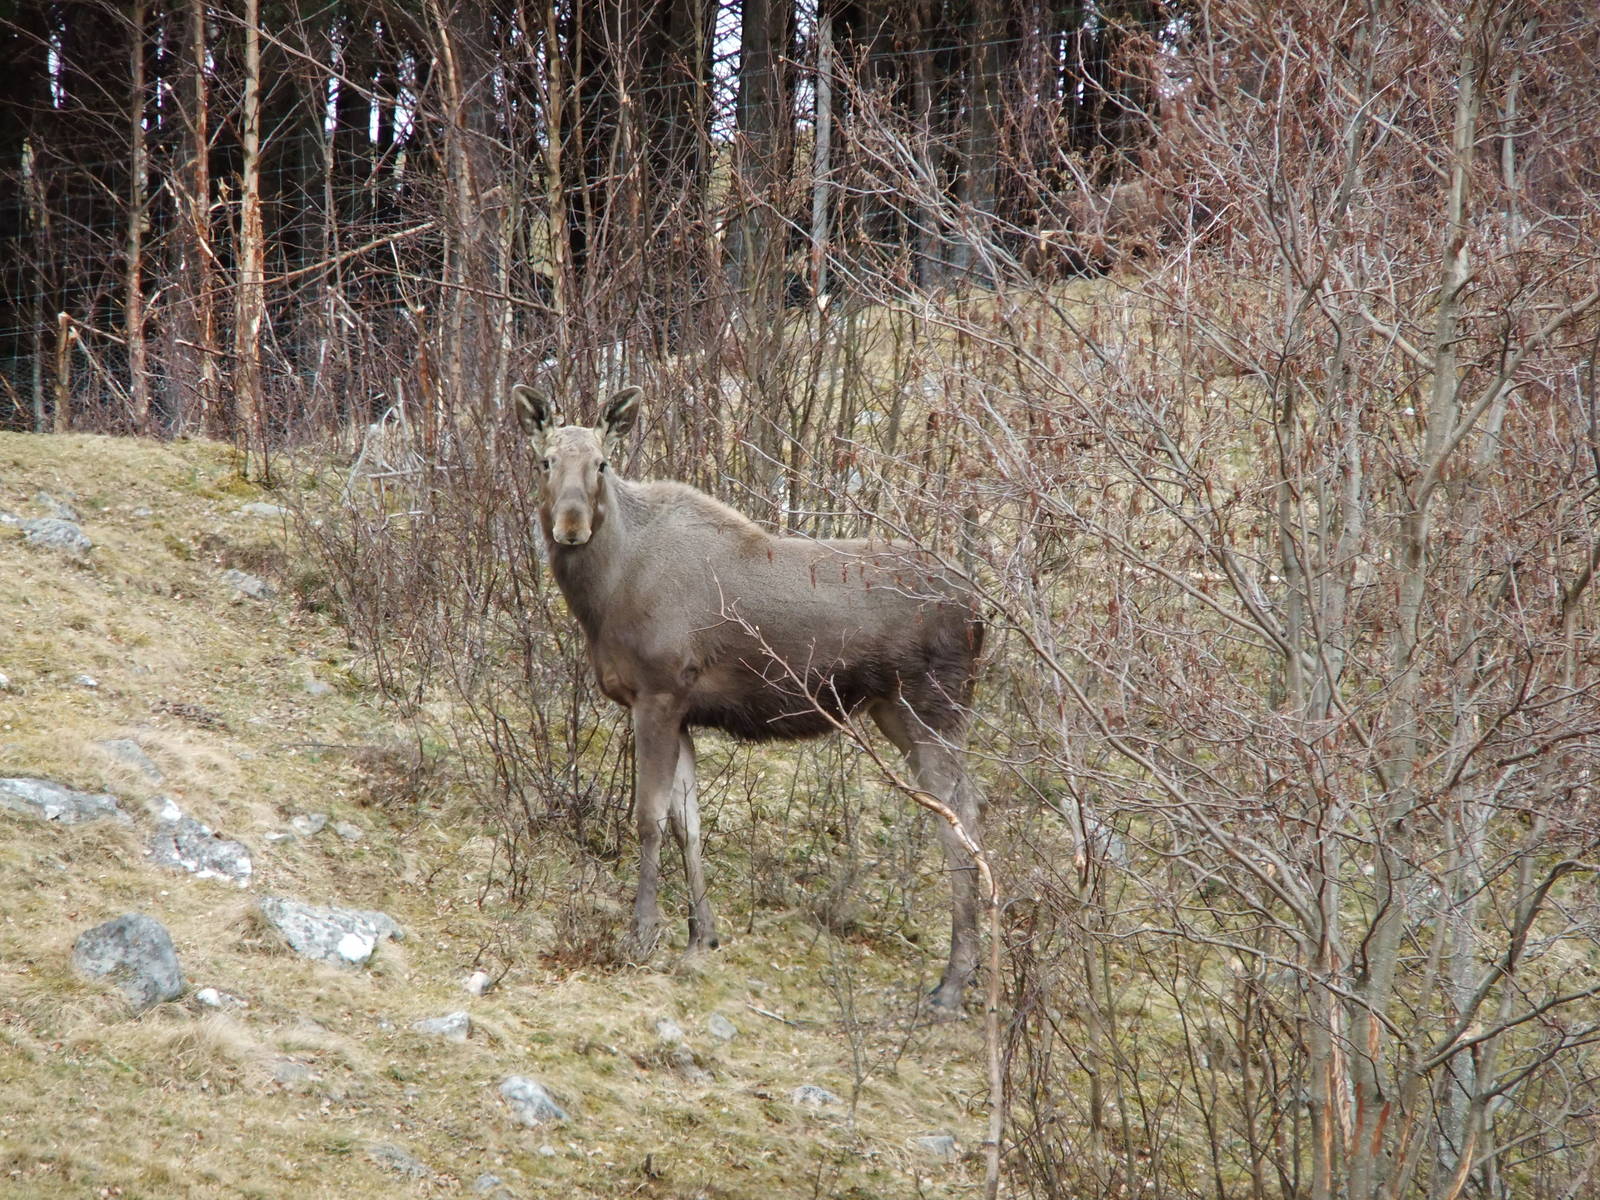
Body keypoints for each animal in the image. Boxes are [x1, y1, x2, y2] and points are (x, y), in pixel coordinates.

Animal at [514, 382, 986, 1010]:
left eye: (602, 463)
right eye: (545, 461)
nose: (571, 527)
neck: (604, 594)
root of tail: (982, 615)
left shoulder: (657, 693)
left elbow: (648, 817)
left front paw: (642, 934)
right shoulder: (682, 711)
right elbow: (687, 821)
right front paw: (701, 937)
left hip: (933, 706)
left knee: (962, 823)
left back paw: (953, 984)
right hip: (897, 713)